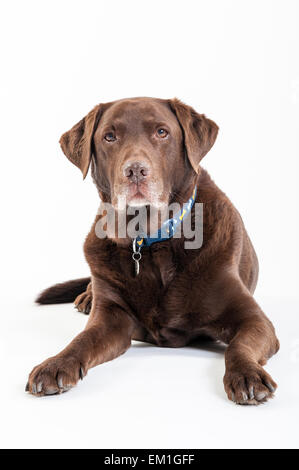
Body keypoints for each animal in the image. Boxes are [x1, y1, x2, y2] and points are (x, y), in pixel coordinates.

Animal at [27, 96, 280, 404]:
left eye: (162, 132)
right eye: (109, 136)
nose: (135, 171)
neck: (149, 242)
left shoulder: (254, 320)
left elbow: (239, 346)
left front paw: (247, 374)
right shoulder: (111, 318)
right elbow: (81, 339)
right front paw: (55, 364)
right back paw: (86, 297)